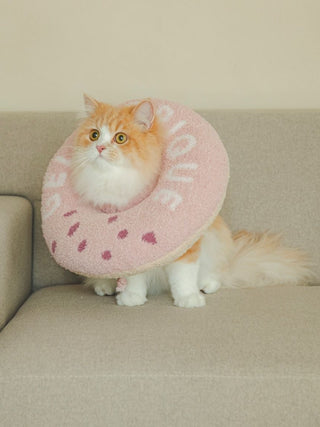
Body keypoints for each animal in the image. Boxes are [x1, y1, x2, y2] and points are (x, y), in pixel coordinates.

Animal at [71, 94, 314, 308]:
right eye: (94, 135)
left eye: (120, 138)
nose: (99, 148)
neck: (113, 181)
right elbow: (134, 277)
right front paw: (132, 298)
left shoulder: (186, 245)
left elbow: (183, 277)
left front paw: (188, 299)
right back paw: (106, 287)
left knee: (216, 275)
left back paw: (207, 285)